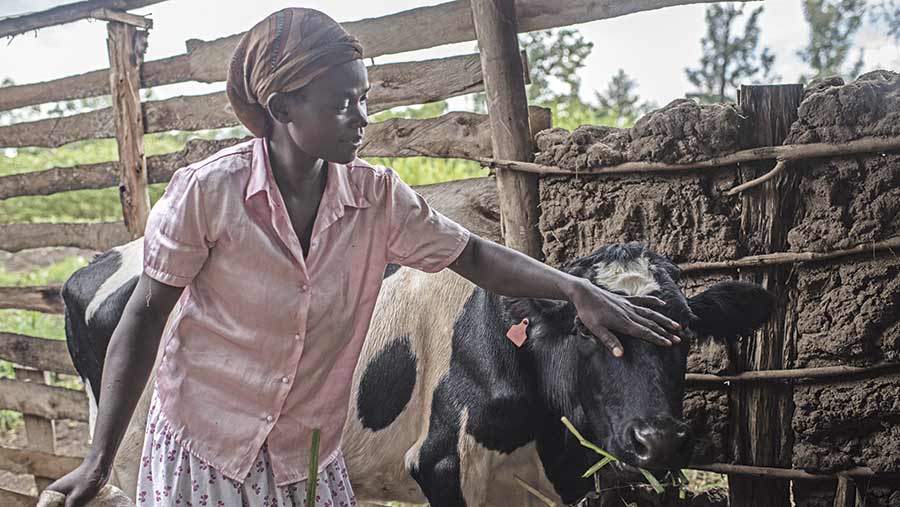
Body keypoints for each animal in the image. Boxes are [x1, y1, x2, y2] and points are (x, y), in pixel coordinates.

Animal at [61, 178, 772, 504]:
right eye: (589, 334)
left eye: (684, 334)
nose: (661, 440)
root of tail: (106, 261)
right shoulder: (440, 465)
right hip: (133, 462)